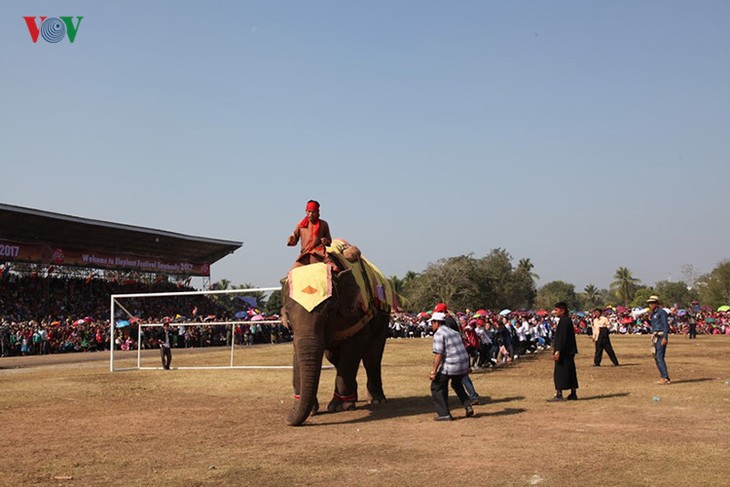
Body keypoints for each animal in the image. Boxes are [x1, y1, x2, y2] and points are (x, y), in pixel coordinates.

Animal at [280, 252, 392, 428]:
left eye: (329, 312)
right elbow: (297, 354)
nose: (288, 419)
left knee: (372, 358)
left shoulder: (356, 313)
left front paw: (339, 407)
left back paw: (376, 400)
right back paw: (354, 398)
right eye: (288, 317)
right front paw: (307, 409)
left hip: (383, 319)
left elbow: (352, 351)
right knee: (333, 357)